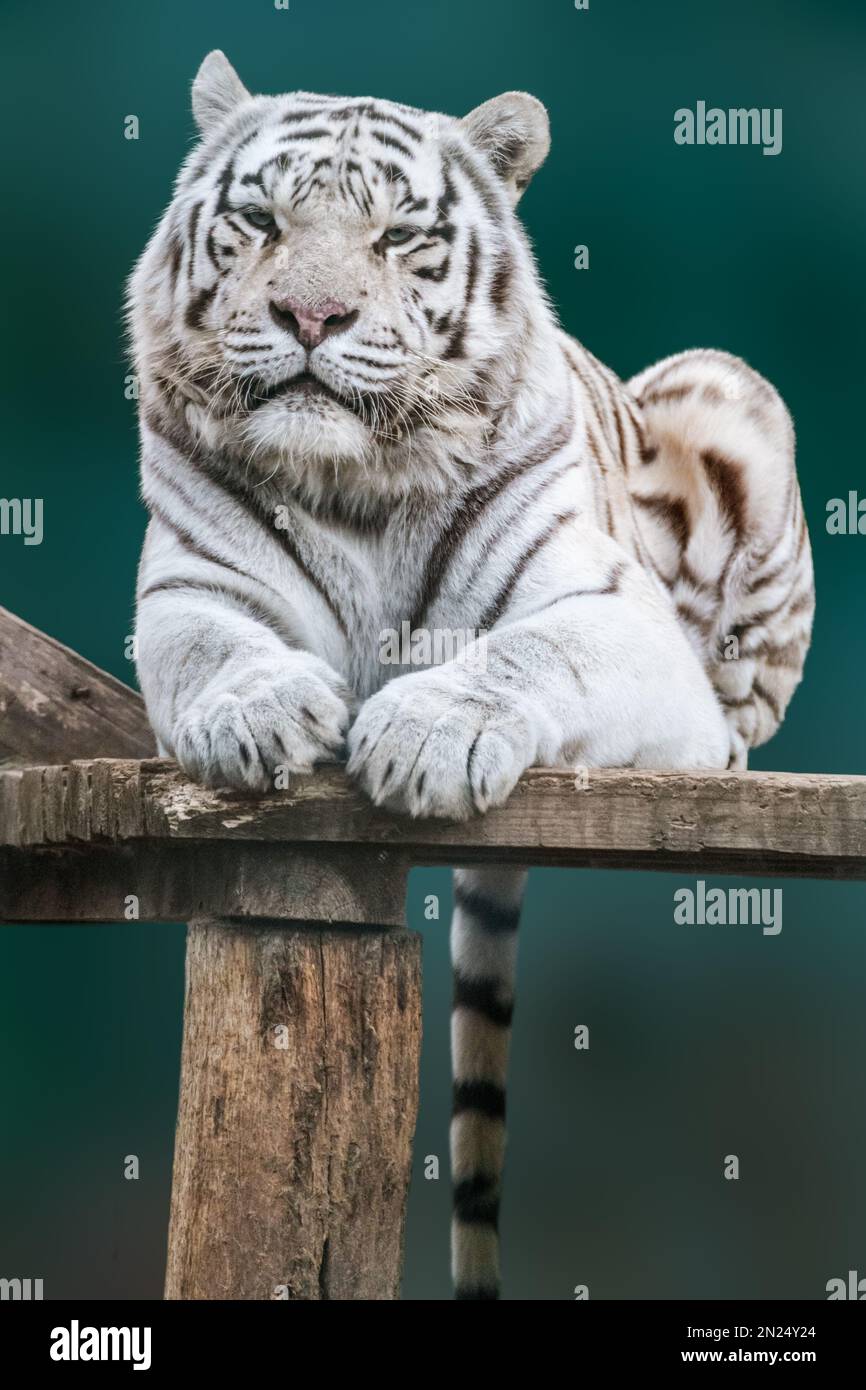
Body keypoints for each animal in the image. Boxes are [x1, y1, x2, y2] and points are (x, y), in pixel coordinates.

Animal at [127, 51, 811, 1301]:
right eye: (262, 221)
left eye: (396, 235)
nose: (311, 316)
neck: (352, 484)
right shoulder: (192, 588)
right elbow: (215, 651)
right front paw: (262, 715)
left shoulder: (610, 613)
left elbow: (526, 649)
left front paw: (425, 734)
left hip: (725, 389)